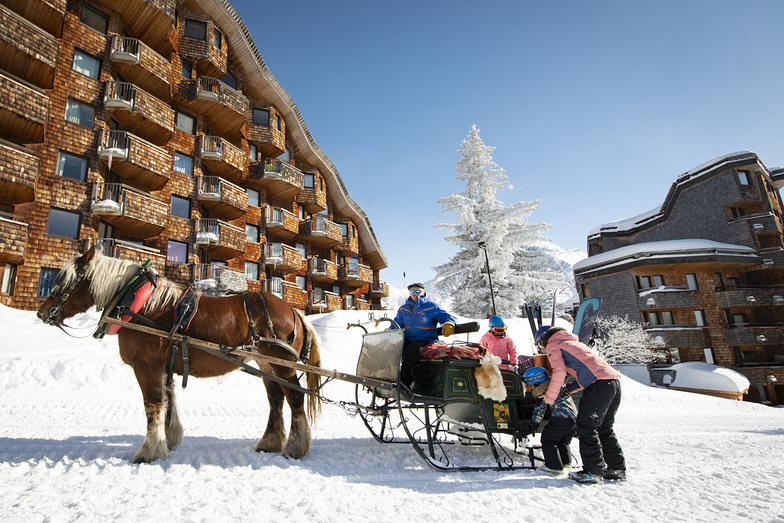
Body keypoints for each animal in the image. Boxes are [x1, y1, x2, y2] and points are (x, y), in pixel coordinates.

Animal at [35, 248, 324, 464]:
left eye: (63, 280)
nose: (42, 312)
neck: (142, 306)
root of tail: (293, 310)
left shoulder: (146, 365)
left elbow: (152, 404)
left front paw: (149, 450)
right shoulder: (163, 364)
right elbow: (167, 400)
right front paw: (170, 439)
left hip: (282, 364)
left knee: (295, 398)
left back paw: (295, 447)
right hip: (267, 364)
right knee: (276, 399)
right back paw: (269, 442)